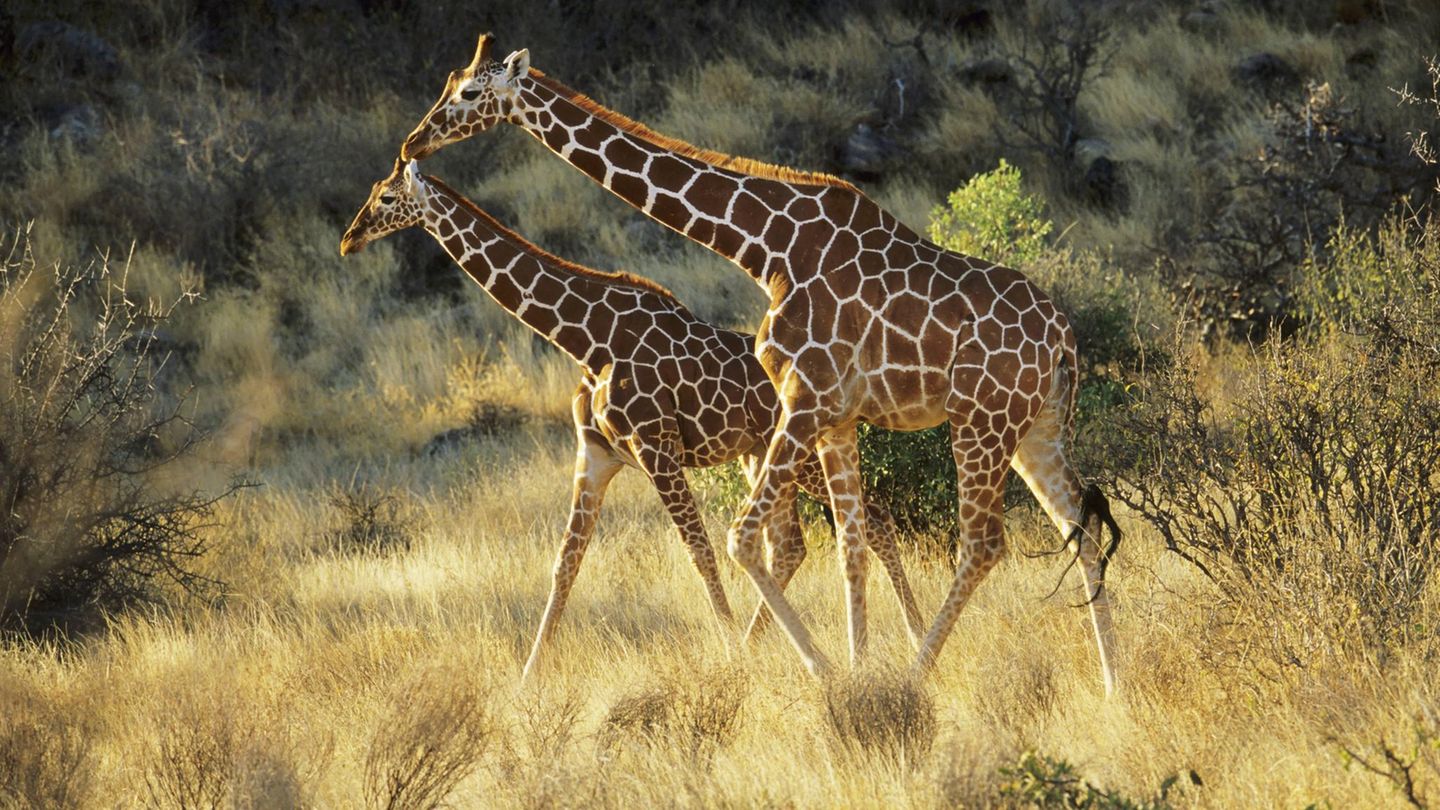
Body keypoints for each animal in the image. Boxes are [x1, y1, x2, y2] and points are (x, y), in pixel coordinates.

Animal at [339, 158, 926, 681]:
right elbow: (564, 565)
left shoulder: (656, 448)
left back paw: (910, 636)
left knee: (872, 516)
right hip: (758, 454)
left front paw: (731, 658)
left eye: (386, 198)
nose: (349, 239)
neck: (585, 337)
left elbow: (699, 552)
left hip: (797, 452)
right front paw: (528, 677)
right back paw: (778, 643)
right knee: (790, 545)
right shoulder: (596, 456)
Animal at [399, 35, 1120, 692]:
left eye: (469, 93)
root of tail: (1063, 336)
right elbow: (850, 546)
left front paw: (825, 672)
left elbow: (743, 540)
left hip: (981, 421)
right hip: (1035, 428)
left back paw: (920, 674)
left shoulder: (806, 399)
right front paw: (856, 667)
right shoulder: (834, 416)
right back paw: (1113, 686)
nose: (412, 144)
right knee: (1078, 525)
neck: (763, 245)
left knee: (983, 543)